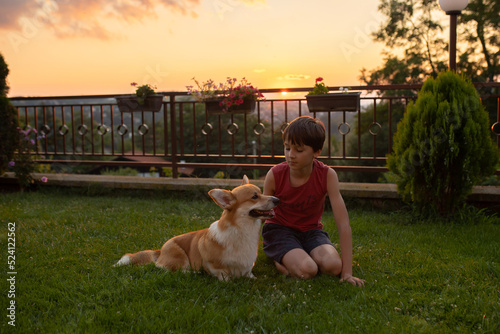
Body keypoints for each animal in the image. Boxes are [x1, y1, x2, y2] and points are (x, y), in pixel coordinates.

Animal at [114, 176, 280, 280]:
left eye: (262, 192)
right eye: (254, 197)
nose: (277, 199)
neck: (242, 230)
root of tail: (160, 251)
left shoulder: (247, 266)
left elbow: (249, 273)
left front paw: (252, 278)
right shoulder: (214, 266)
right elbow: (223, 275)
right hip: (180, 257)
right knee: (173, 270)